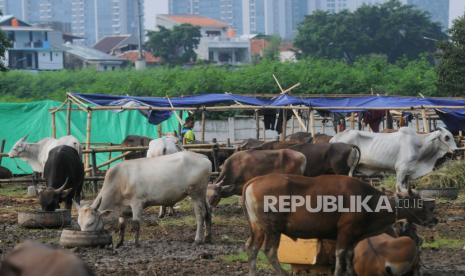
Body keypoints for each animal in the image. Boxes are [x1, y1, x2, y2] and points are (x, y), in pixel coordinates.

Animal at [75, 152, 211, 247]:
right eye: (79, 223)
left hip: (196, 194)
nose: (83, 239)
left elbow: (136, 224)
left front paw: (136, 243)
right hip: (202, 194)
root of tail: (203, 157)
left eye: (91, 222)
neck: (120, 179)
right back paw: (208, 237)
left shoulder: (137, 202)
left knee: (200, 215)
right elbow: (122, 225)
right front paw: (119, 243)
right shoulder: (123, 209)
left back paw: (197, 240)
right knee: (208, 212)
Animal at [243, 175, 436, 276]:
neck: (368, 201)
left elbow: (349, 256)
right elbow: (340, 255)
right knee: (269, 251)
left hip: (257, 228)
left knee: (251, 249)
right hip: (272, 229)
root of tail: (253, 181)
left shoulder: (353, 236)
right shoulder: (345, 232)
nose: (434, 219)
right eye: (419, 202)